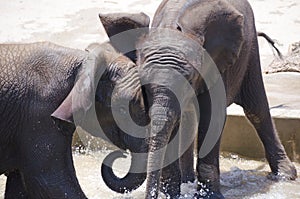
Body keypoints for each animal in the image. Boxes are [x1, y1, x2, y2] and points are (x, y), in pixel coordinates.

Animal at [99, 0, 298, 198]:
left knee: (256, 109)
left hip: (249, 51)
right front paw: (171, 195)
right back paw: (187, 181)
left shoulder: (215, 64)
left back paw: (285, 176)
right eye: (143, 82)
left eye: (189, 79)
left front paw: (208, 196)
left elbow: (212, 117)